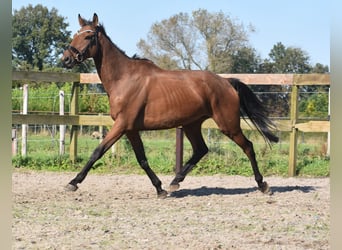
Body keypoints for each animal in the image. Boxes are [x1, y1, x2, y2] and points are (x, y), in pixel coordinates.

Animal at [61, 13, 278, 198]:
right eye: (75, 34)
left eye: (89, 36)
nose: (66, 59)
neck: (124, 78)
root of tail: (226, 82)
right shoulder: (130, 129)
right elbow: (142, 159)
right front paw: (160, 189)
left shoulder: (121, 125)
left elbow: (97, 152)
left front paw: (73, 183)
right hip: (192, 125)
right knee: (201, 150)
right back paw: (175, 181)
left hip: (228, 125)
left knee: (248, 147)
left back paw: (263, 185)